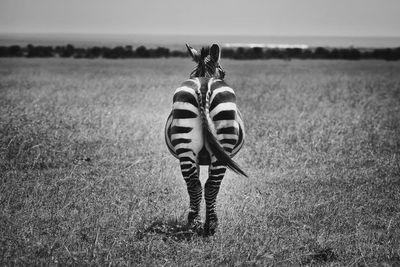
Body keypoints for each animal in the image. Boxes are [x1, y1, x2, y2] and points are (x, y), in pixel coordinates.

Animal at [163, 43, 245, 237]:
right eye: (224, 73)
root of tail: (204, 85)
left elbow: (197, 182)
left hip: (187, 146)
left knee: (194, 184)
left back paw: (195, 223)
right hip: (221, 147)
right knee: (211, 185)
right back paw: (211, 225)